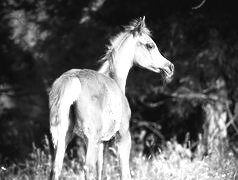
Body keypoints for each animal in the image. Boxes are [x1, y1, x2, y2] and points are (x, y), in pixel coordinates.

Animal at [49, 16, 174, 179]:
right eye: (150, 45)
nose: (169, 67)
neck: (116, 82)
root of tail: (73, 78)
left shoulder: (101, 142)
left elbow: (100, 169)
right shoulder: (123, 136)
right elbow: (124, 172)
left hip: (64, 135)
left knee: (56, 168)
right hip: (91, 137)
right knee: (87, 168)